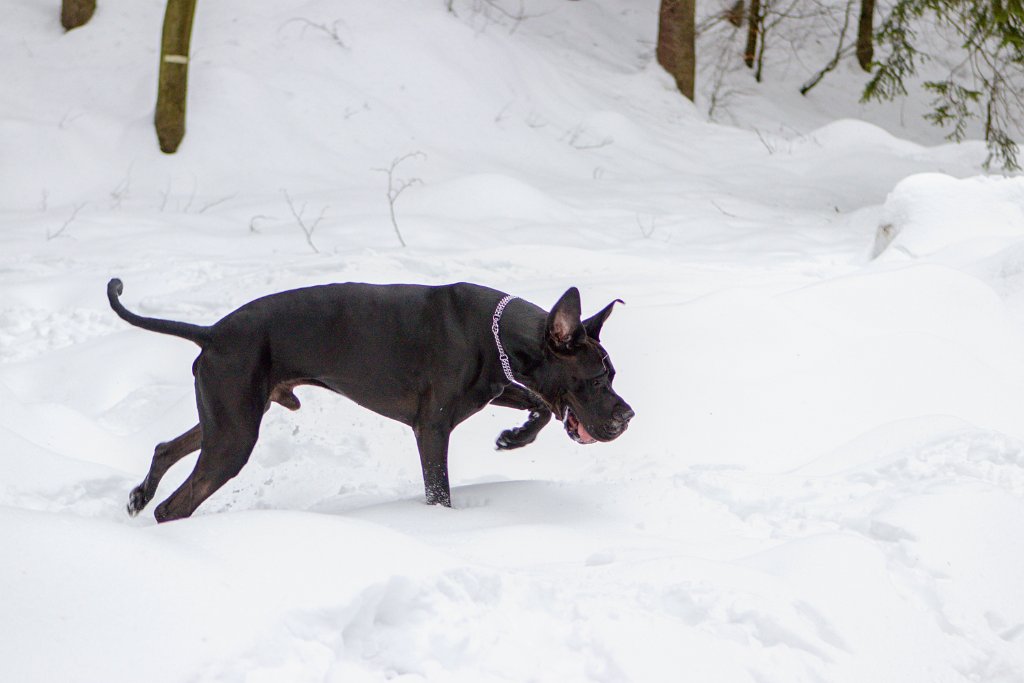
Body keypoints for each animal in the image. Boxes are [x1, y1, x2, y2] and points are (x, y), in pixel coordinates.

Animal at [105, 280, 630, 520]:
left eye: (612, 374)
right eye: (596, 380)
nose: (628, 415)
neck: (494, 332)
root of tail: (212, 332)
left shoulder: (498, 387)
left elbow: (541, 405)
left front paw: (514, 438)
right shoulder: (432, 428)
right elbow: (438, 492)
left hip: (227, 417)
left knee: (166, 448)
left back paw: (139, 496)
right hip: (234, 435)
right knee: (176, 505)